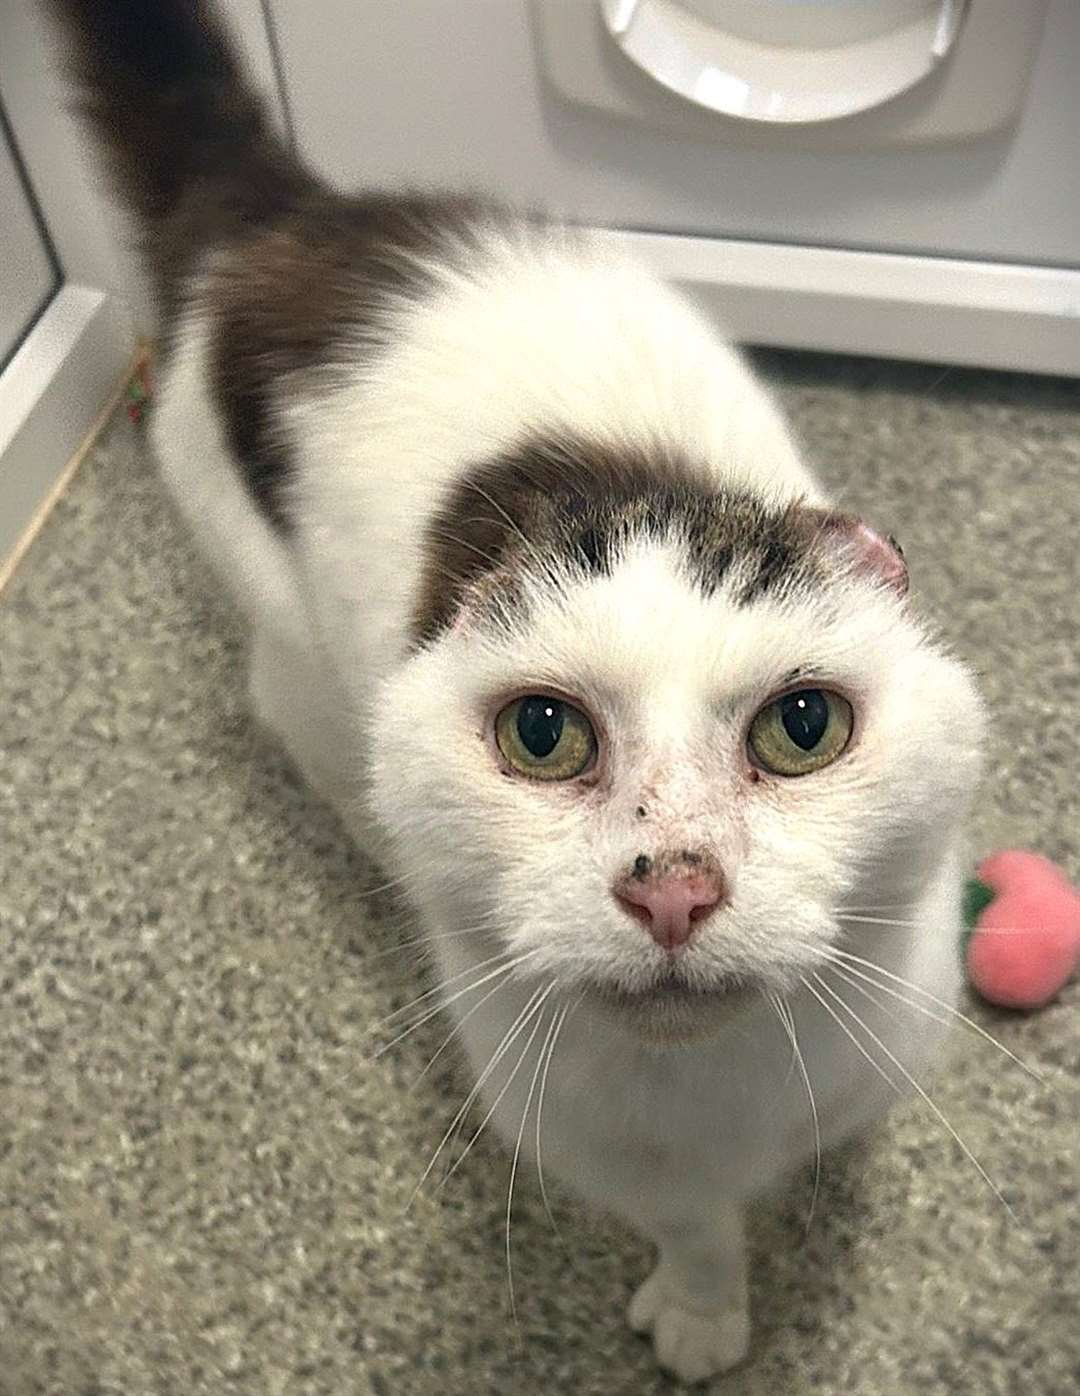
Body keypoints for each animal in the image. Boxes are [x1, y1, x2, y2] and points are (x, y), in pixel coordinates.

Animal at [46, 0, 987, 1373]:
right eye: (543, 735)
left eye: (803, 725)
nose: (674, 887)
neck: (720, 1090)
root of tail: (287, 219)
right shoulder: (601, 1147)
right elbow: (694, 1228)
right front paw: (706, 1309)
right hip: (287, 633)